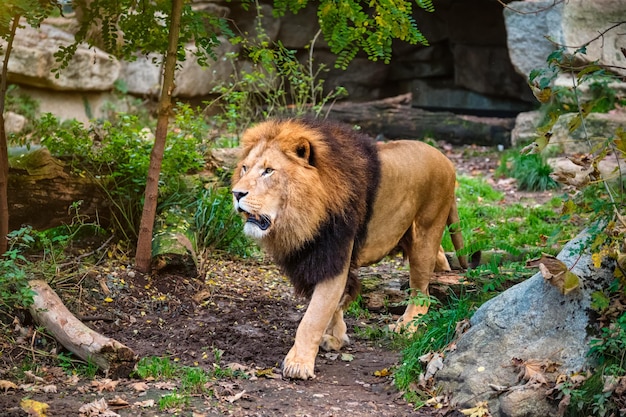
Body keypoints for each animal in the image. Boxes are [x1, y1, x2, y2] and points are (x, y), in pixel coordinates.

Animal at [232, 118, 466, 378]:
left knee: (421, 292)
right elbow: (332, 305)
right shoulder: (313, 259)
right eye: (245, 168)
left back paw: (407, 326)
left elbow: (313, 316)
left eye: (268, 170)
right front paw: (337, 337)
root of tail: (446, 160)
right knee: (439, 262)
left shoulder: (335, 254)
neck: (303, 215)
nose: (236, 193)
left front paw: (298, 364)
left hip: (425, 233)